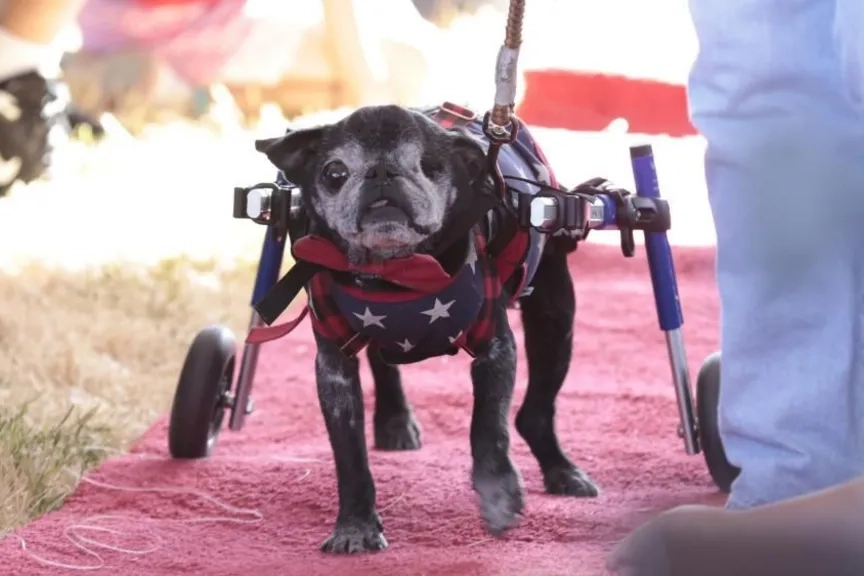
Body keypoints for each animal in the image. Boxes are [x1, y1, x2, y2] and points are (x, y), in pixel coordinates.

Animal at [253, 103, 596, 552]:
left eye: (431, 165)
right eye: (334, 172)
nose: (382, 172)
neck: (397, 272)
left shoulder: (495, 350)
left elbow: (489, 428)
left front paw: (499, 495)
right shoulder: (334, 369)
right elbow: (349, 454)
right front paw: (355, 526)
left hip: (554, 315)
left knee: (534, 412)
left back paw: (562, 471)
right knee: (383, 362)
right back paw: (395, 419)